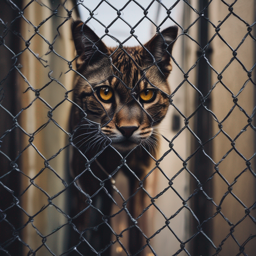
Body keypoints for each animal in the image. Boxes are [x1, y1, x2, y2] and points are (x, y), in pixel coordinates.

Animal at [70, 21, 178, 255]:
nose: (128, 129)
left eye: (147, 95)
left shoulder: (140, 177)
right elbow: (80, 229)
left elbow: (136, 228)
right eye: (105, 93)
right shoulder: (84, 177)